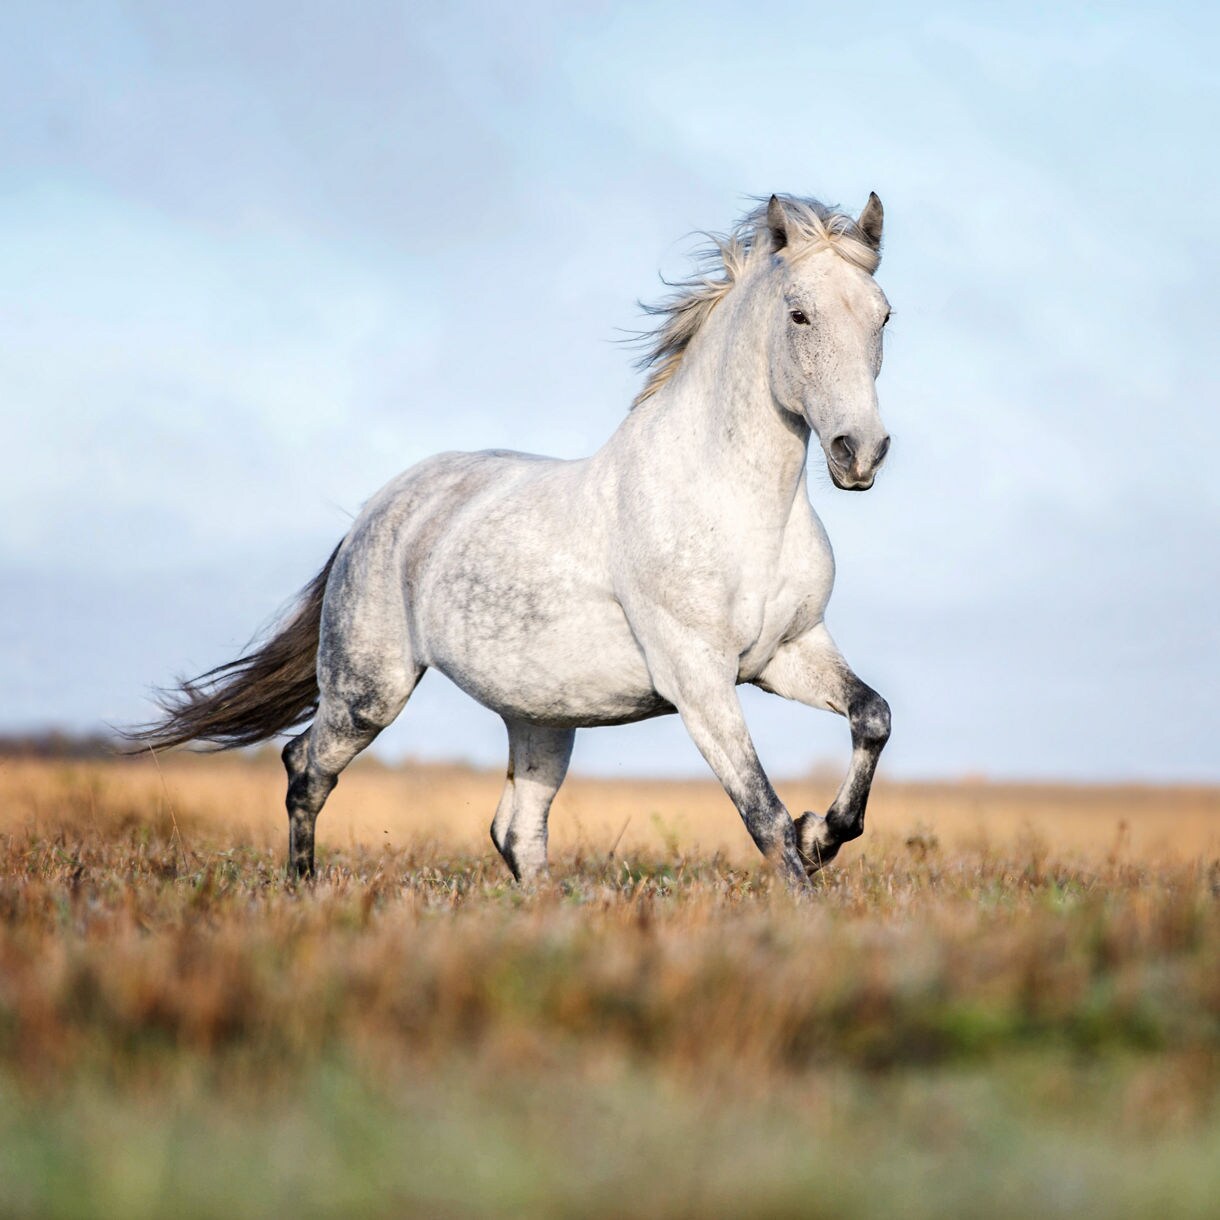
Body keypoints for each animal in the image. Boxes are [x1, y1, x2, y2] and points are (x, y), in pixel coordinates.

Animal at [131, 192, 894, 891]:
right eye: (799, 315)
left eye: (883, 315)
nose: (860, 453)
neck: (740, 510)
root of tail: (373, 514)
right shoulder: (698, 677)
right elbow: (762, 812)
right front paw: (805, 886)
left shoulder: (788, 653)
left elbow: (872, 717)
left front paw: (824, 835)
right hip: (367, 689)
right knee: (304, 770)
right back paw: (303, 891)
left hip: (541, 717)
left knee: (516, 831)